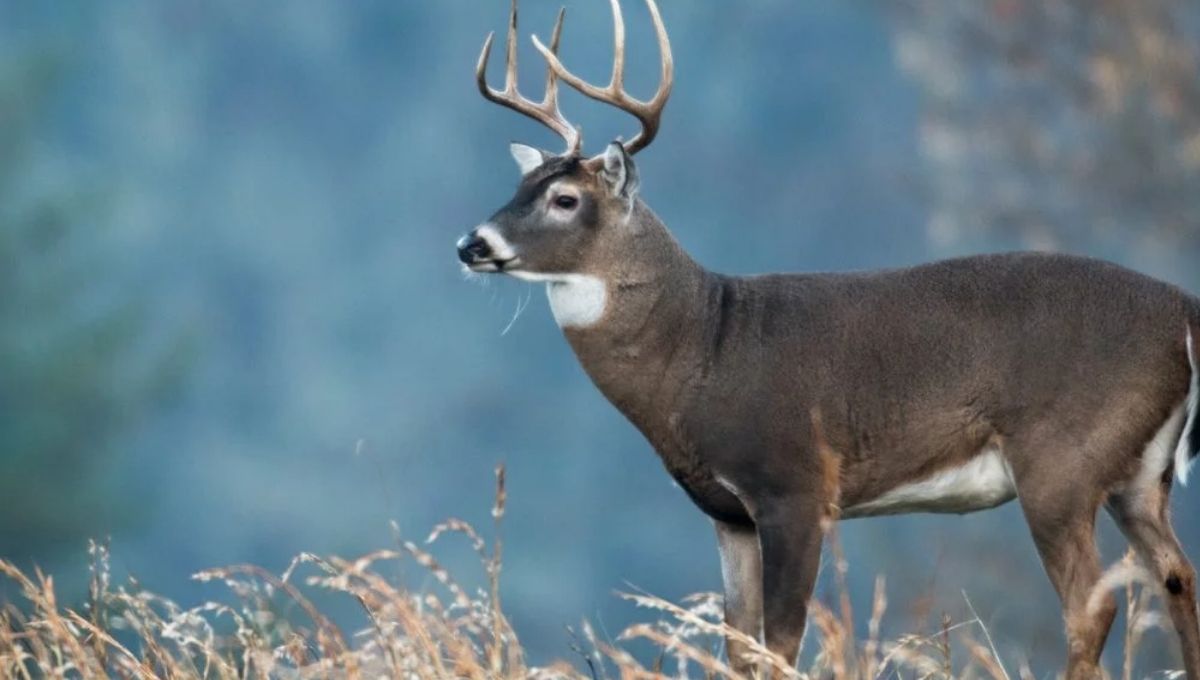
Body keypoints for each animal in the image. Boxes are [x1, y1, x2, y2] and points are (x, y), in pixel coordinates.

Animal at [455, 1, 1200, 676]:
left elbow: (782, 642)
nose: (471, 244)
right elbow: (740, 647)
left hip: (1061, 459)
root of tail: (1186, 314)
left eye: (566, 200)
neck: (703, 346)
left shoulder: (796, 486)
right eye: (518, 185)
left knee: (1093, 605)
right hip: (1140, 473)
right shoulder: (729, 514)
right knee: (1177, 577)